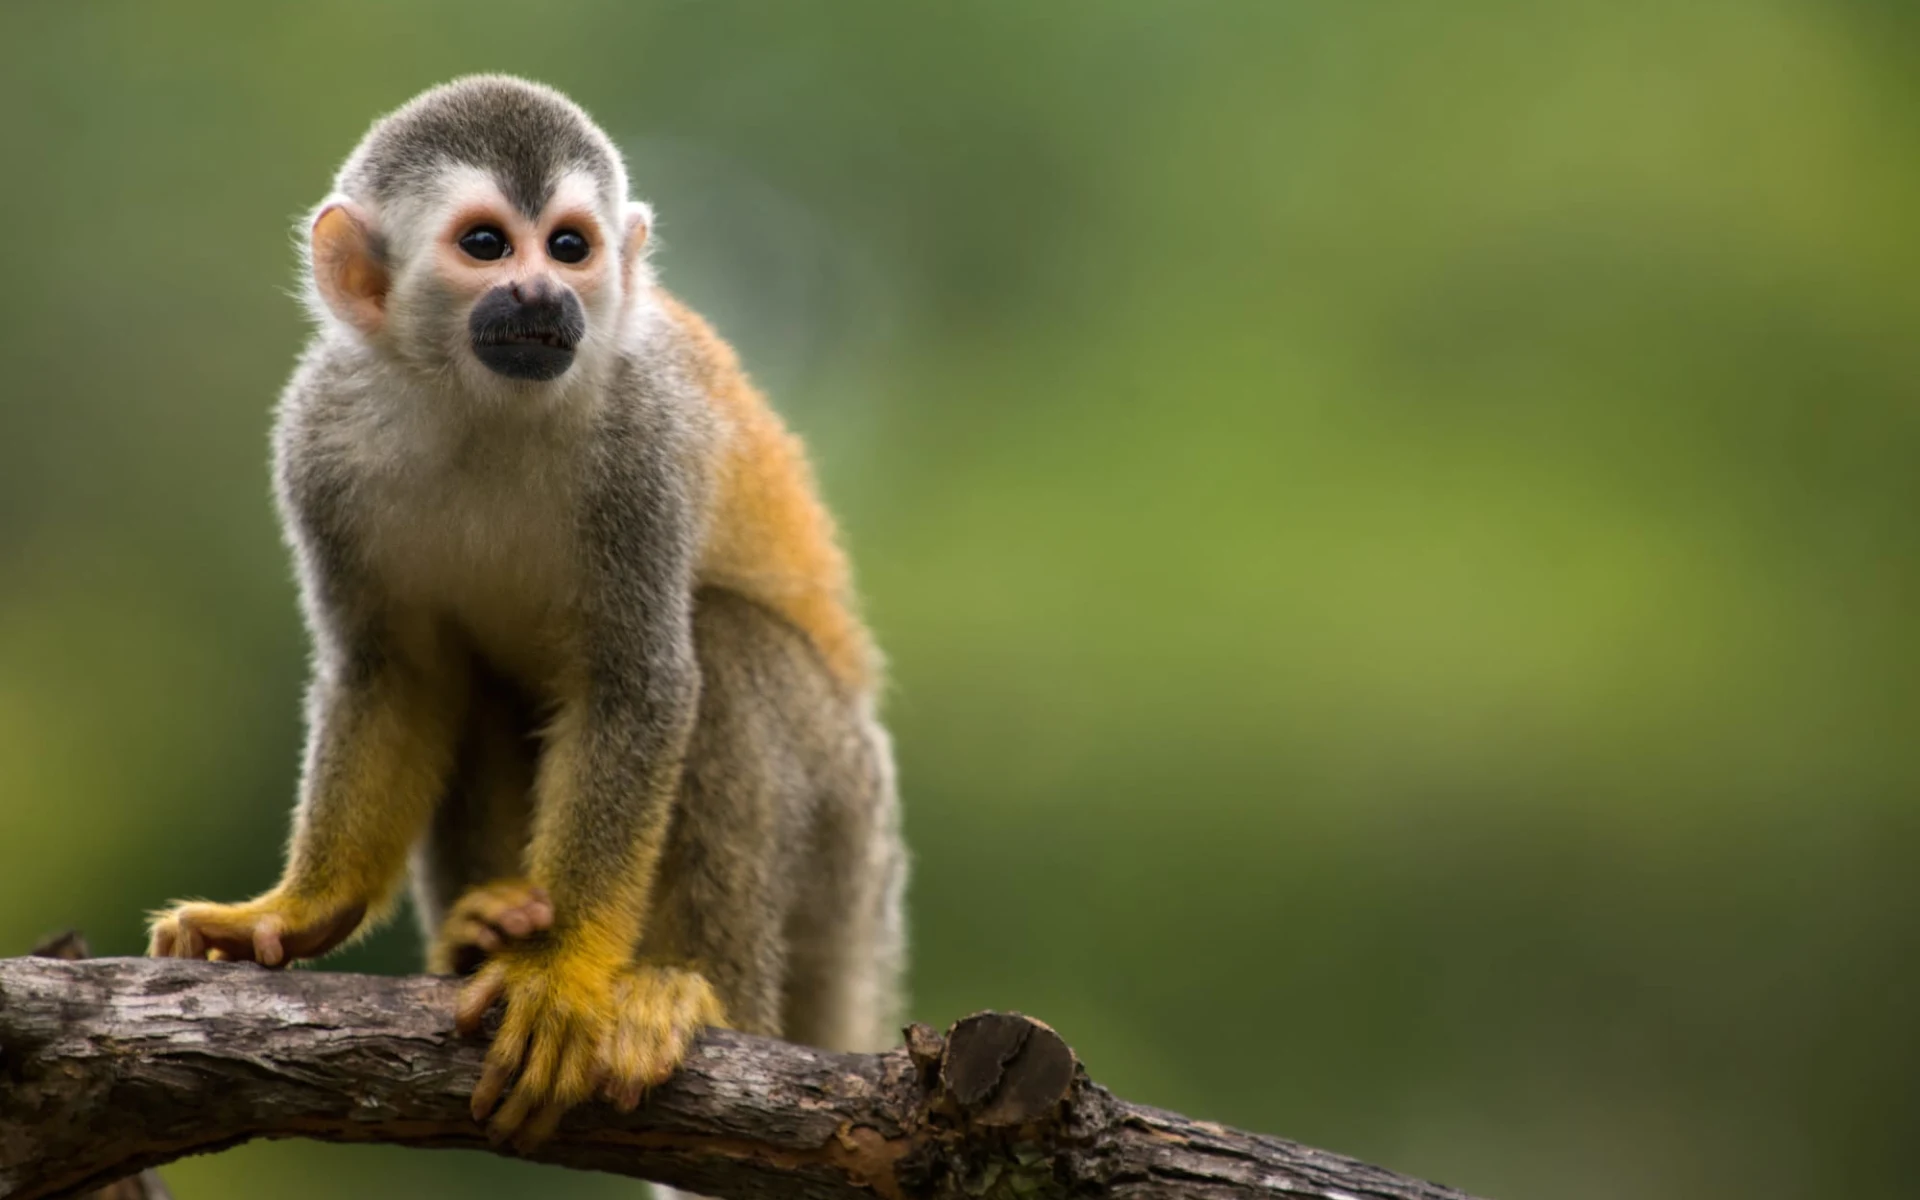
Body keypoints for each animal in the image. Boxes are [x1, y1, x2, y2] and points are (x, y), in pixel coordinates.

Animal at [146, 75, 907, 1154]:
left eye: (570, 246)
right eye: (486, 245)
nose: (547, 296)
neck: (482, 403)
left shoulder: (642, 439)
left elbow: (639, 683)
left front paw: (560, 972)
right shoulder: (316, 438)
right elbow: (393, 672)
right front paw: (298, 912)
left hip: (850, 840)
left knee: (722, 645)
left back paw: (695, 995)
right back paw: (482, 929)